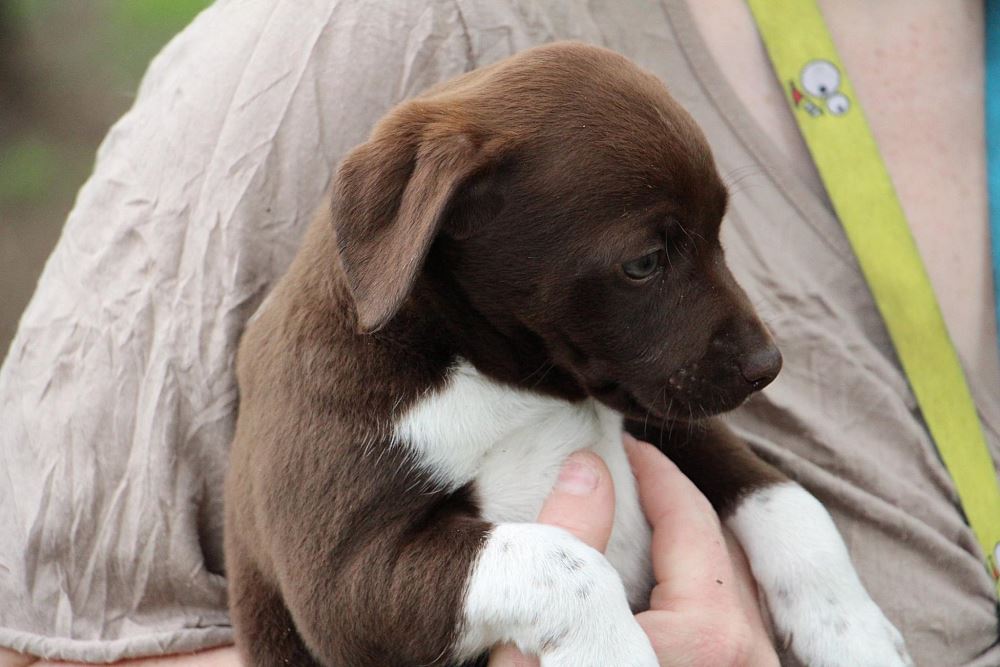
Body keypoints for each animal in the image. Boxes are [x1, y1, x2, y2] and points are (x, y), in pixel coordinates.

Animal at [224, 42, 912, 666]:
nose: (766, 366)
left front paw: (854, 632)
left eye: (719, 233)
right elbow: (563, 561)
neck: (498, 378)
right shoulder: (344, 582)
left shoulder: (661, 416)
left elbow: (787, 499)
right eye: (644, 263)